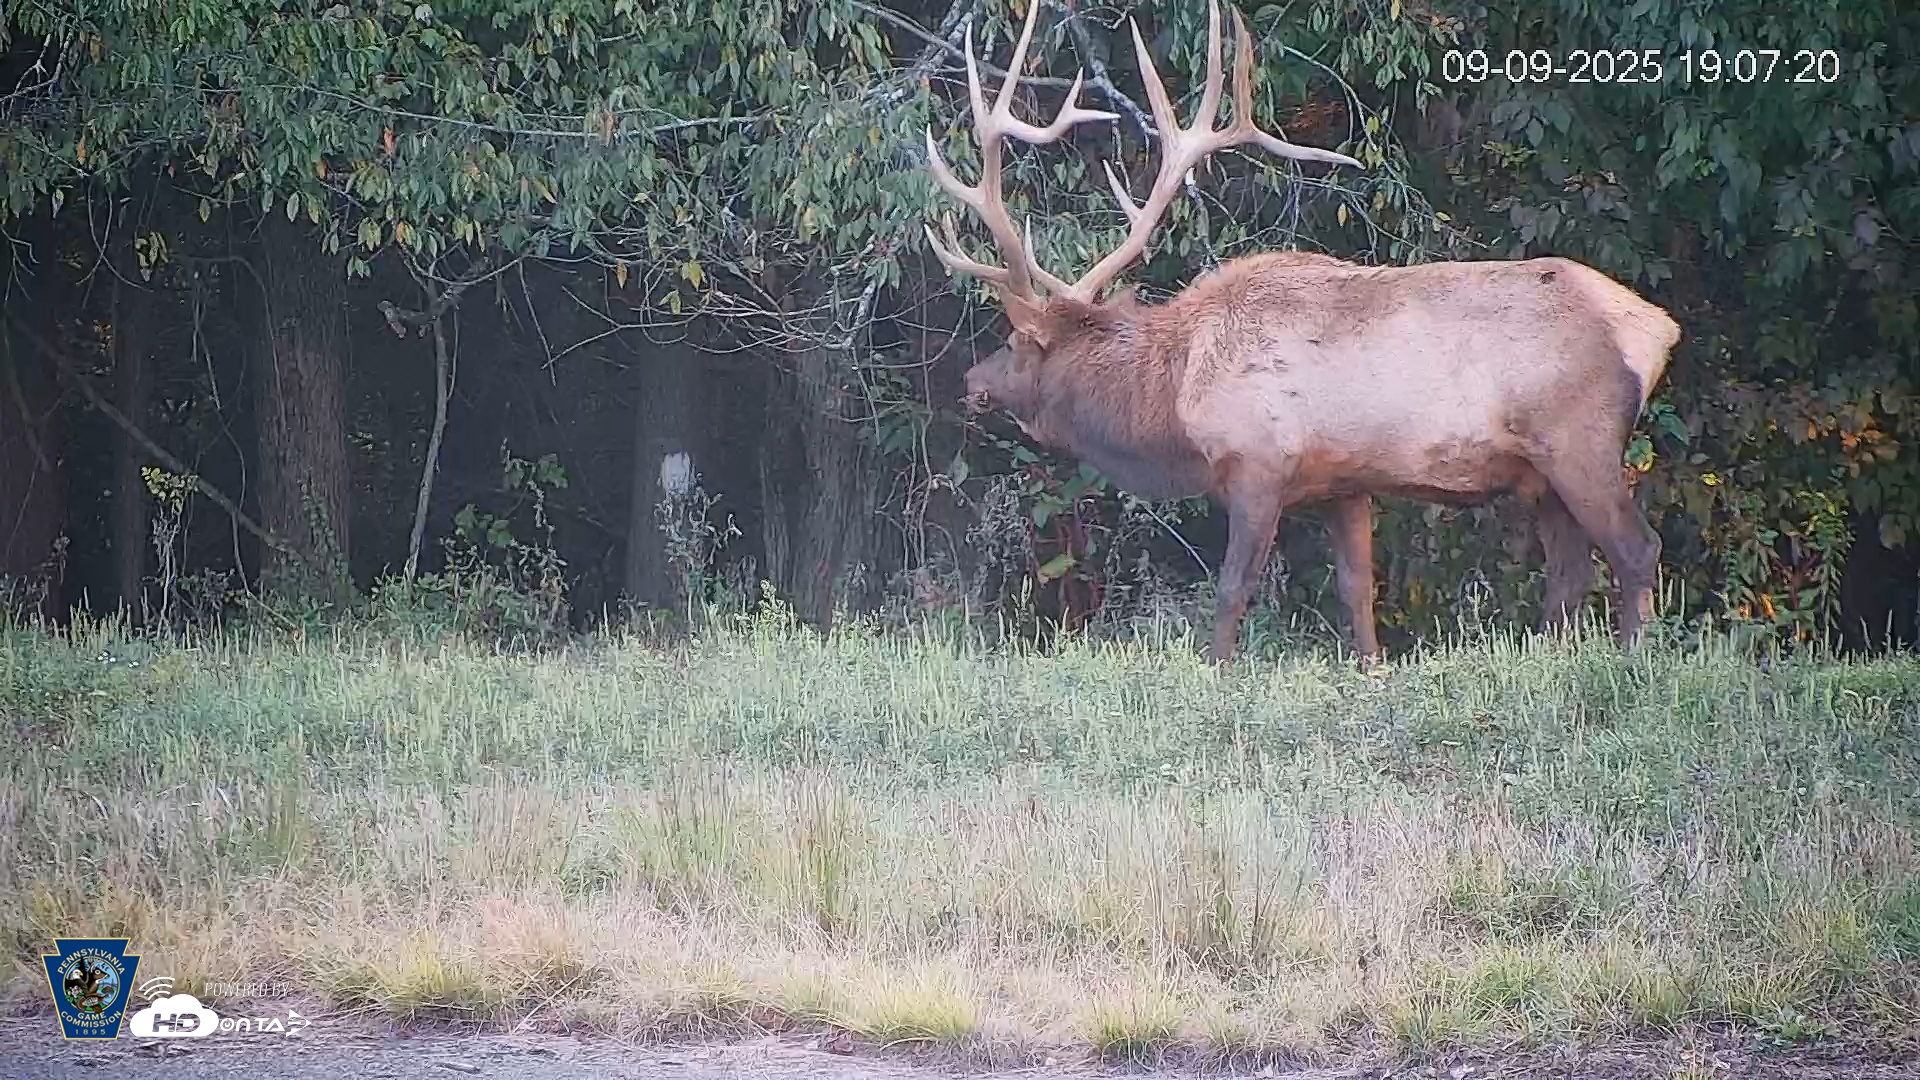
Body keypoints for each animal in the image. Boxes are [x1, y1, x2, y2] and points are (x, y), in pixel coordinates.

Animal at [921, 0, 1681, 665]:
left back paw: (1637, 656)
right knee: (1570, 570)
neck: (1175, 396)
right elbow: (1358, 591)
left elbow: (1233, 589)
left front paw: (1219, 671)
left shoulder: (1258, 463)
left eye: (1015, 343)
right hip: (1540, 475)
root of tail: (1657, 330)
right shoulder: (1343, 482)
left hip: (1579, 439)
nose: (972, 380)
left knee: (1636, 548)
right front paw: (1369, 670)